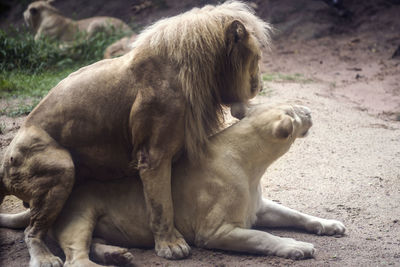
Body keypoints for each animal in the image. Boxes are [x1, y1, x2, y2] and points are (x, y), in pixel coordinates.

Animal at [0, 2, 272, 267]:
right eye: (257, 58)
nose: (260, 85)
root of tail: (3, 169)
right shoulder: (153, 154)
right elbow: (162, 204)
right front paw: (171, 246)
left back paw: (116, 254)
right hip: (61, 167)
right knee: (33, 232)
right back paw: (45, 258)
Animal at [0, 104, 346, 267]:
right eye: (295, 111)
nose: (309, 111)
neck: (254, 163)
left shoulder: (260, 208)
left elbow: (298, 215)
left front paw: (329, 225)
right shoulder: (217, 231)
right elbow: (264, 238)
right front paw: (296, 247)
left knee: (92, 245)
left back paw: (118, 255)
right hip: (80, 215)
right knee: (76, 259)